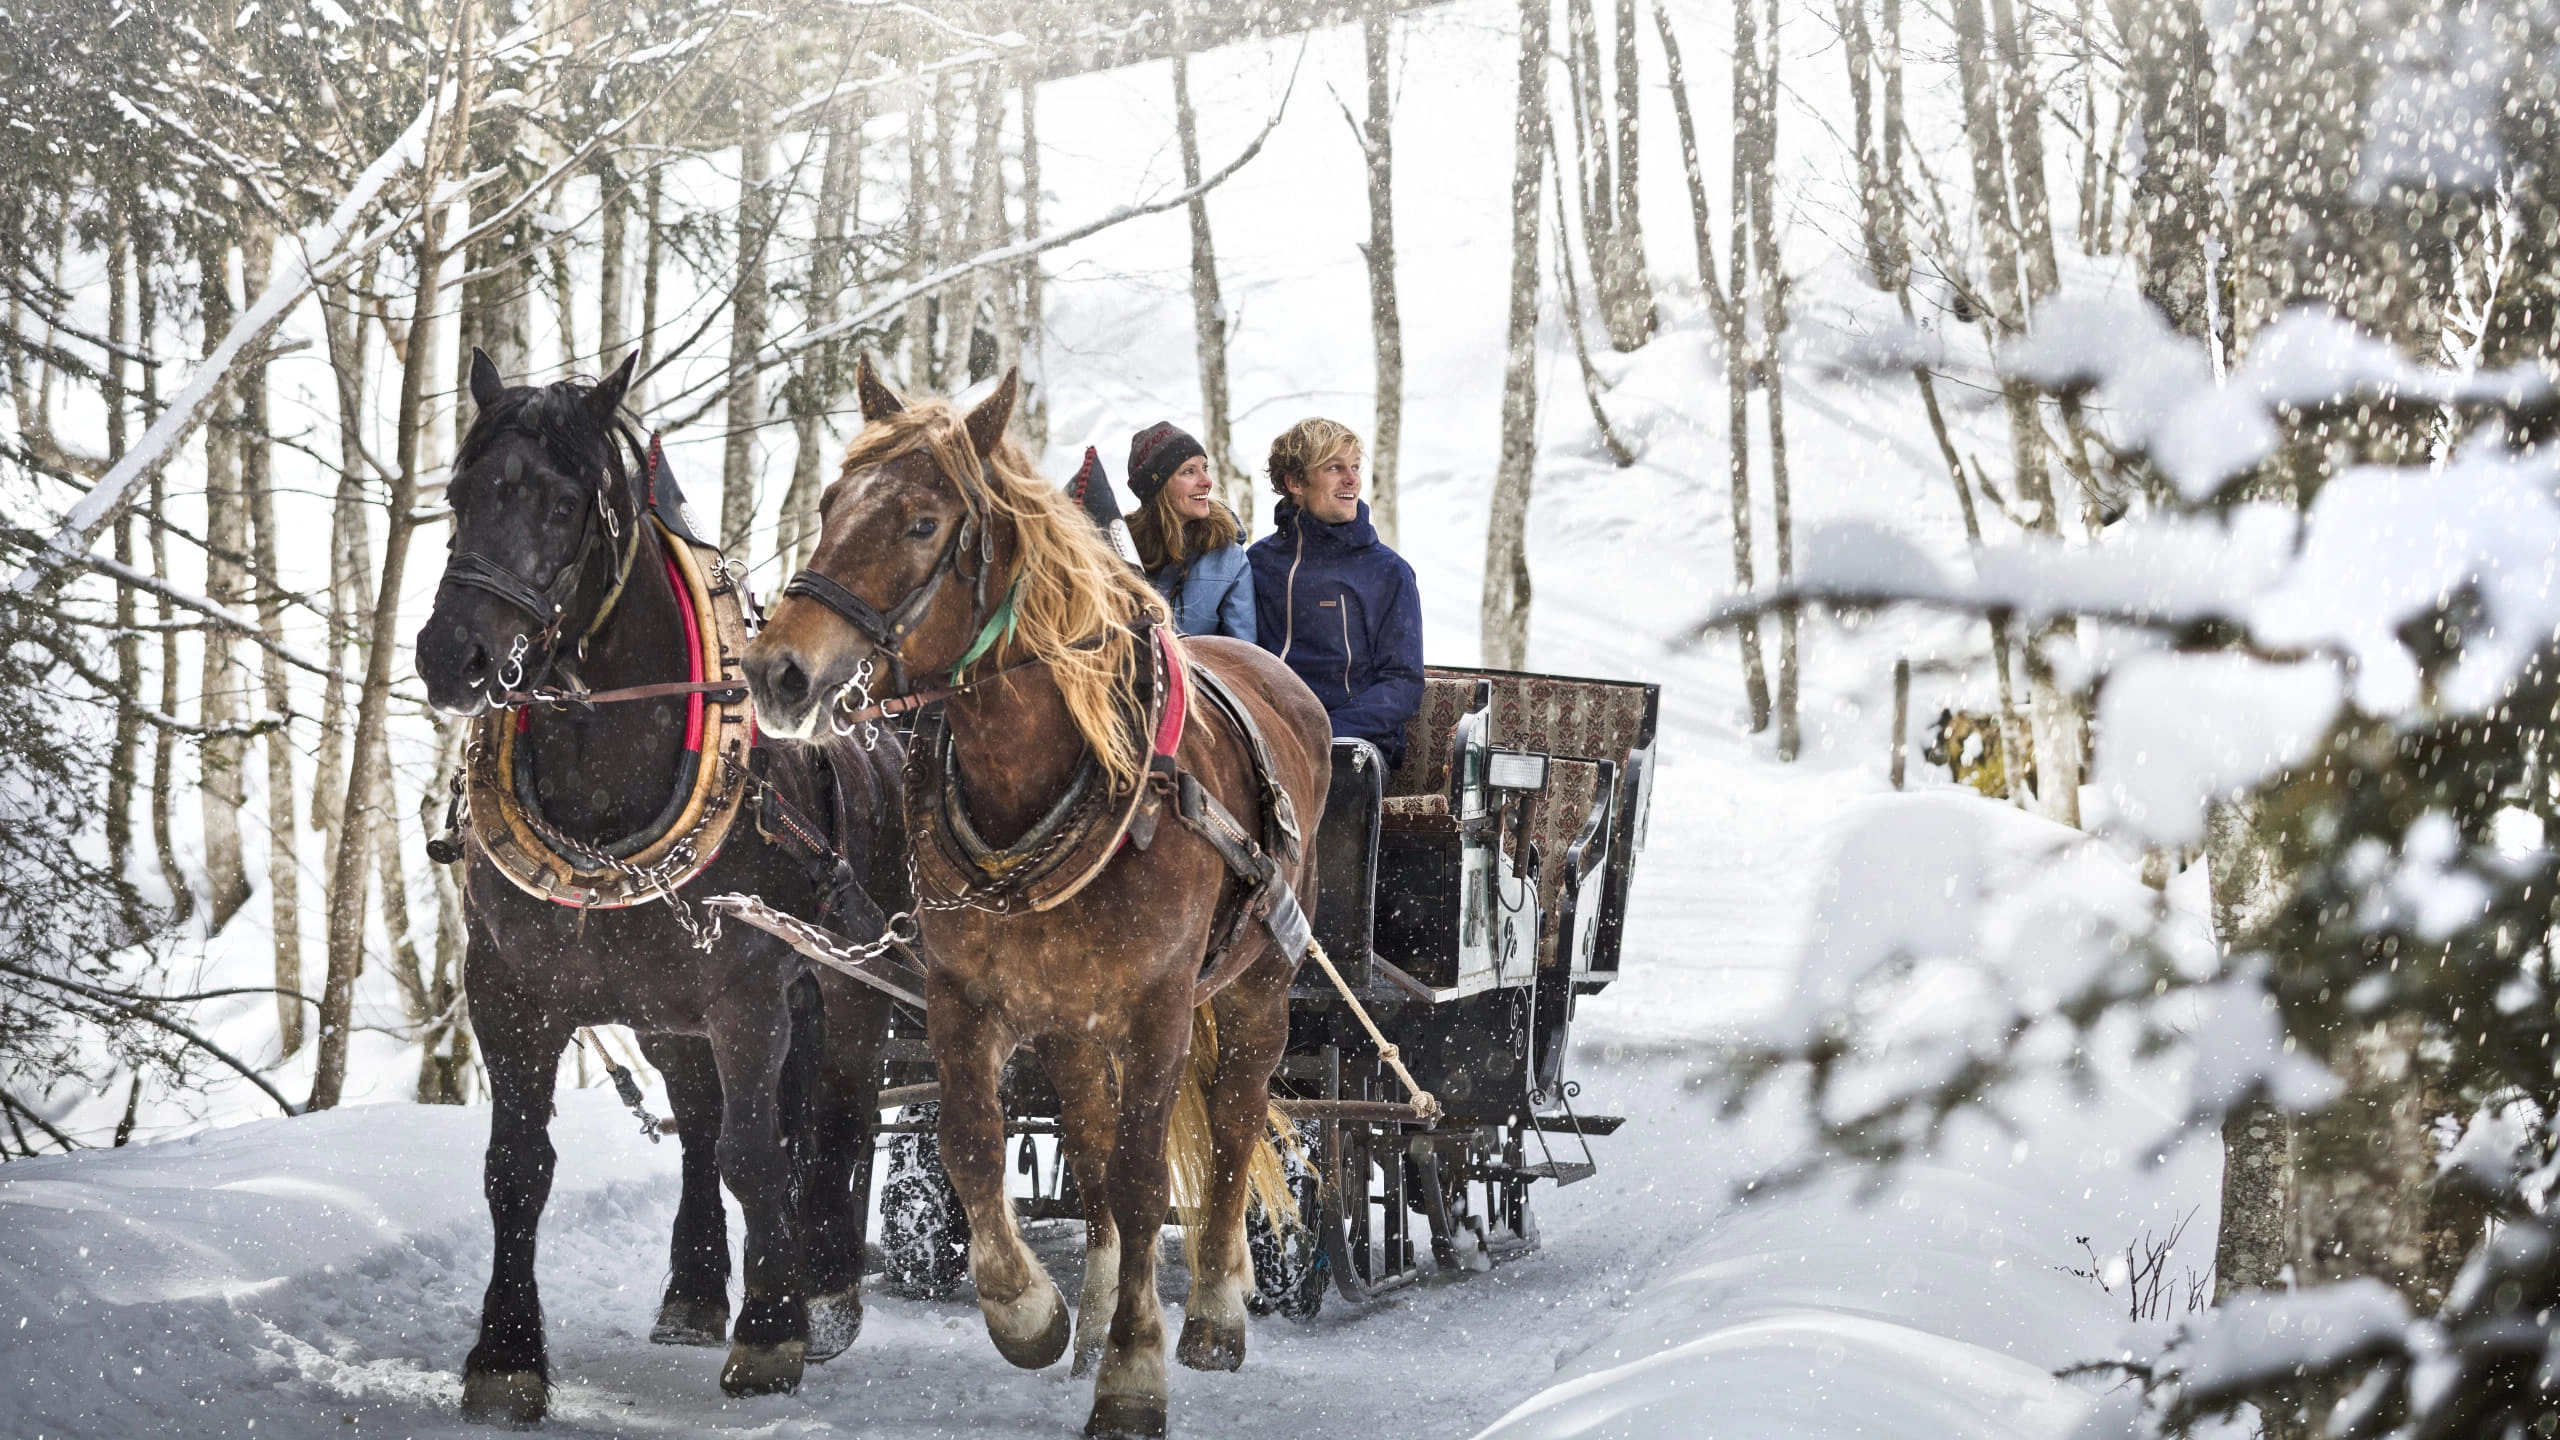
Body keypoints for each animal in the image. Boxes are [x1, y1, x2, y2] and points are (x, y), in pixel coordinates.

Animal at [414, 350, 905, 1423]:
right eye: (459, 494)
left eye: (563, 507)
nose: (450, 656)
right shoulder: (510, 989)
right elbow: (518, 1168)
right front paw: (505, 1355)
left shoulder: (750, 992)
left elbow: (759, 1154)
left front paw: (773, 1334)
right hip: (662, 1011)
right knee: (699, 1125)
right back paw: (694, 1289)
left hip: (849, 981)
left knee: (837, 1113)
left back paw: (828, 1290)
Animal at [740, 361, 1333, 1439]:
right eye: (831, 504)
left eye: (923, 523)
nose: (777, 671)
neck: (1048, 776)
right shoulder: (965, 998)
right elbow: (976, 1147)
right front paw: (1032, 1314)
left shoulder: (1157, 1008)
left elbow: (1145, 1182)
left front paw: (1135, 1373)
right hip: (1070, 1022)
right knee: (1091, 1154)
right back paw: (1095, 1313)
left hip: (1254, 985)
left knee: (1234, 1127)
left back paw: (1214, 1309)